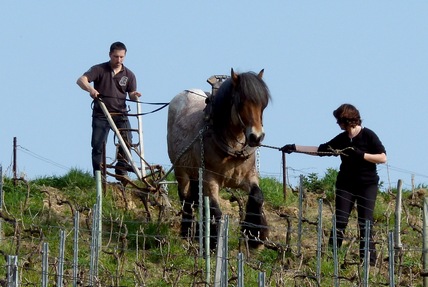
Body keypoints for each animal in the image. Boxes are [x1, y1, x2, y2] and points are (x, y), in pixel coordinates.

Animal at [167, 70, 270, 250]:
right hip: (180, 169)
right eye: (241, 101)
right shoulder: (210, 180)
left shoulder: (248, 177)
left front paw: (254, 234)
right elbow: (216, 211)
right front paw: (214, 242)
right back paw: (186, 231)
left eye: (263, 103)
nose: (256, 137)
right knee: (185, 197)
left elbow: (257, 195)